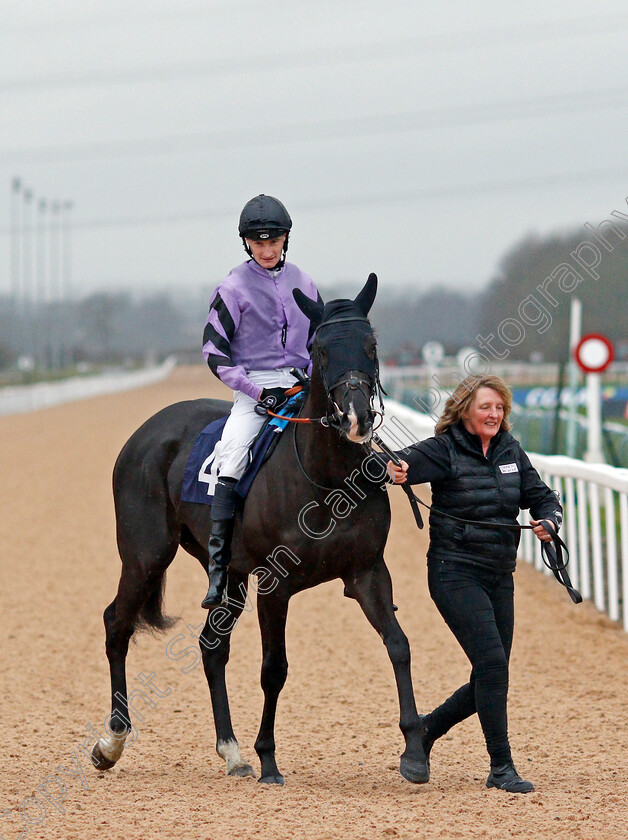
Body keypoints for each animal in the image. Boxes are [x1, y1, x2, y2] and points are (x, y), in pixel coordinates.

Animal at [93, 272, 430, 784]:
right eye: (321, 349)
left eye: (371, 344)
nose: (355, 416)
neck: (326, 476)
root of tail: (146, 432)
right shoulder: (275, 582)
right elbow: (275, 669)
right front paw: (269, 758)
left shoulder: (368, 572)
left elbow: (399, 645)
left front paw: (413, 749)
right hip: (145, 556)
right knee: (117, 623)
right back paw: (111, 742)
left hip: (227, 572)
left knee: (211, 646)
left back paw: (231, 752)